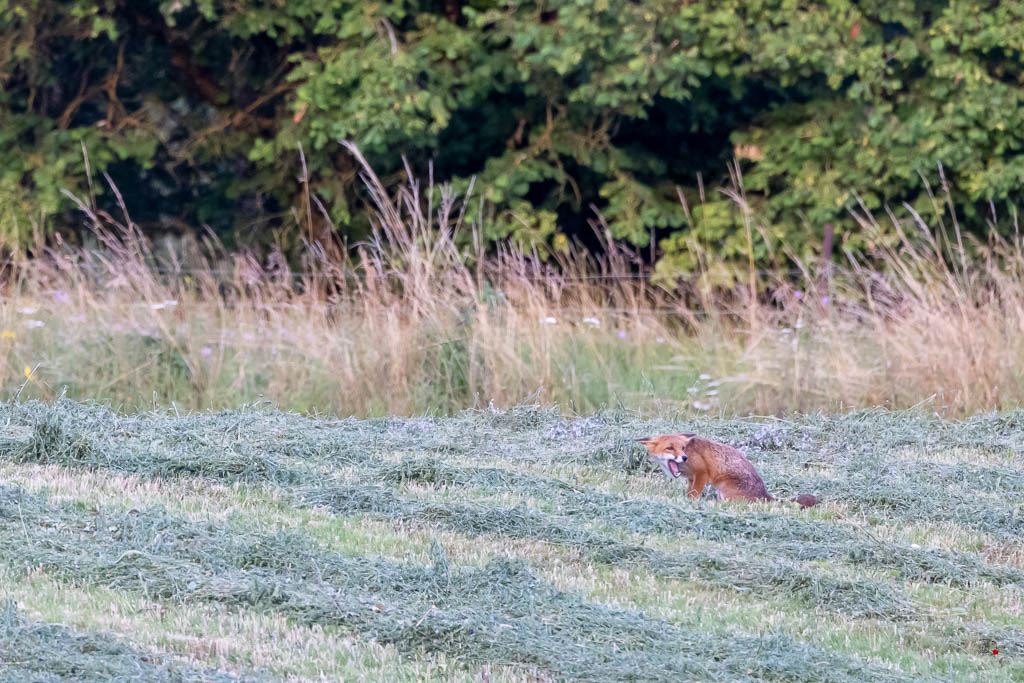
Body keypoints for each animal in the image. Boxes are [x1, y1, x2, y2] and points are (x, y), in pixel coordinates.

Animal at [636, 433, 818, 508]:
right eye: (670, 448)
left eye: (682, 448)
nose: (684, 457)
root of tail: (764, 494)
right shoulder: (691, 478)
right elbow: (690, 491)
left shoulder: (702, 472)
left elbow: (694, 494)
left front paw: (691, 503)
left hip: (723, 489)